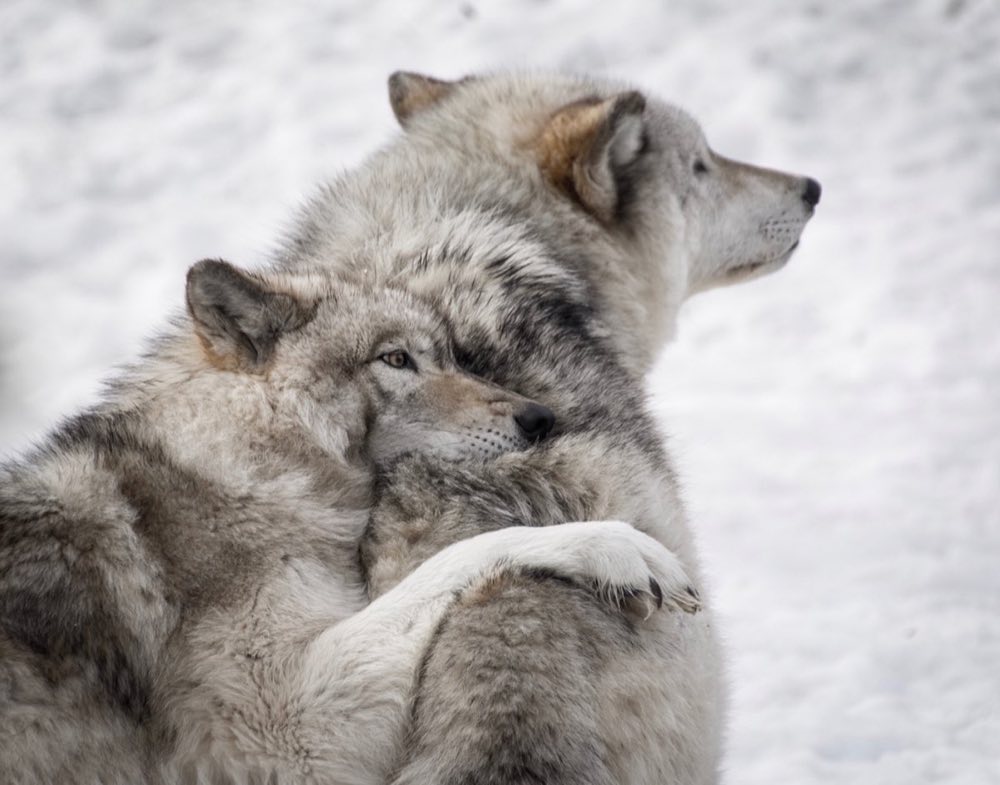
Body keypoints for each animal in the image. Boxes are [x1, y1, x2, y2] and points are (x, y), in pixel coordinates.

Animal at [0, 260, 693, 784]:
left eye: (449, 355)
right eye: (396, 359)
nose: (539, 418)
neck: (240, 466)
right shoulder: (286, 733)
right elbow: (474, 550)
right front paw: (617, 548)